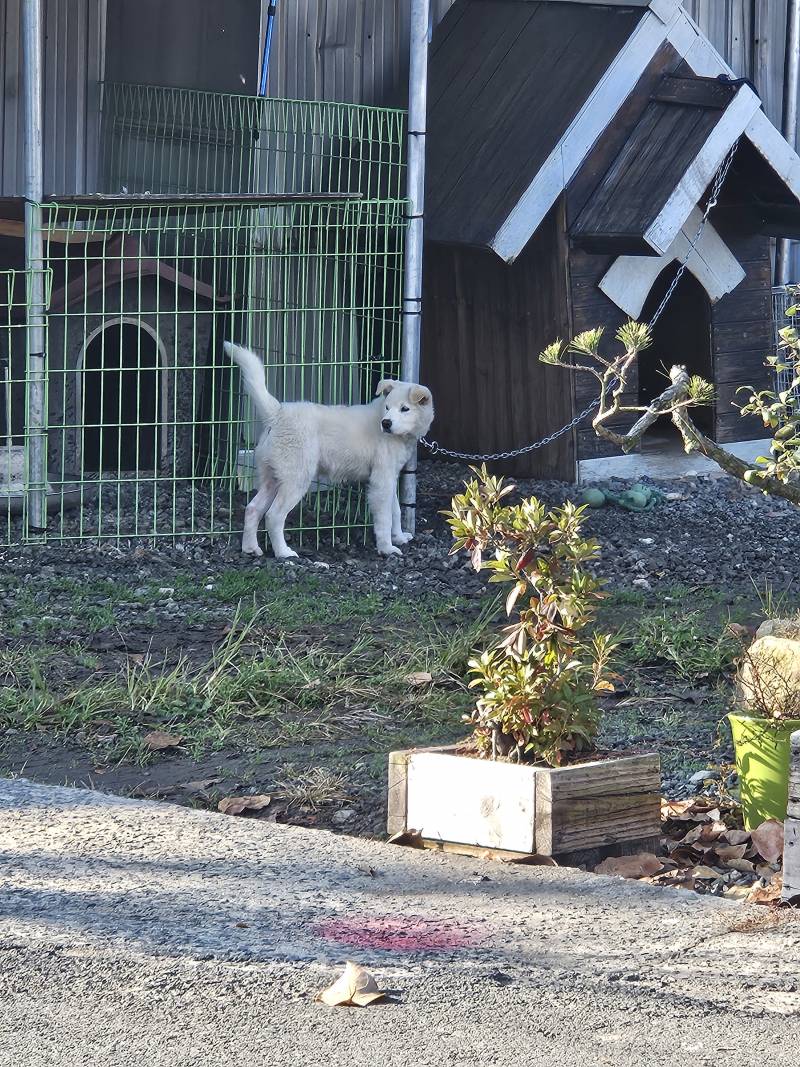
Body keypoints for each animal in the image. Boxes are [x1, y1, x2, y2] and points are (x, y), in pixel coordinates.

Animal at [222, 343, 435, 563]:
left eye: (404, 409)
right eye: (387, 407)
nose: (386, 423)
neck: (400, 436)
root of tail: (277, 413)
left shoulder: (389, 477)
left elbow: (396, 510)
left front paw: (399, 538)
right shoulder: (381, 481)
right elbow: (385, 517)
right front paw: (387, 548)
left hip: (272, 477)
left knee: (252, 509)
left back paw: (250, 548)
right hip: (296, 479)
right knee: (274, 516)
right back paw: (284, 553)